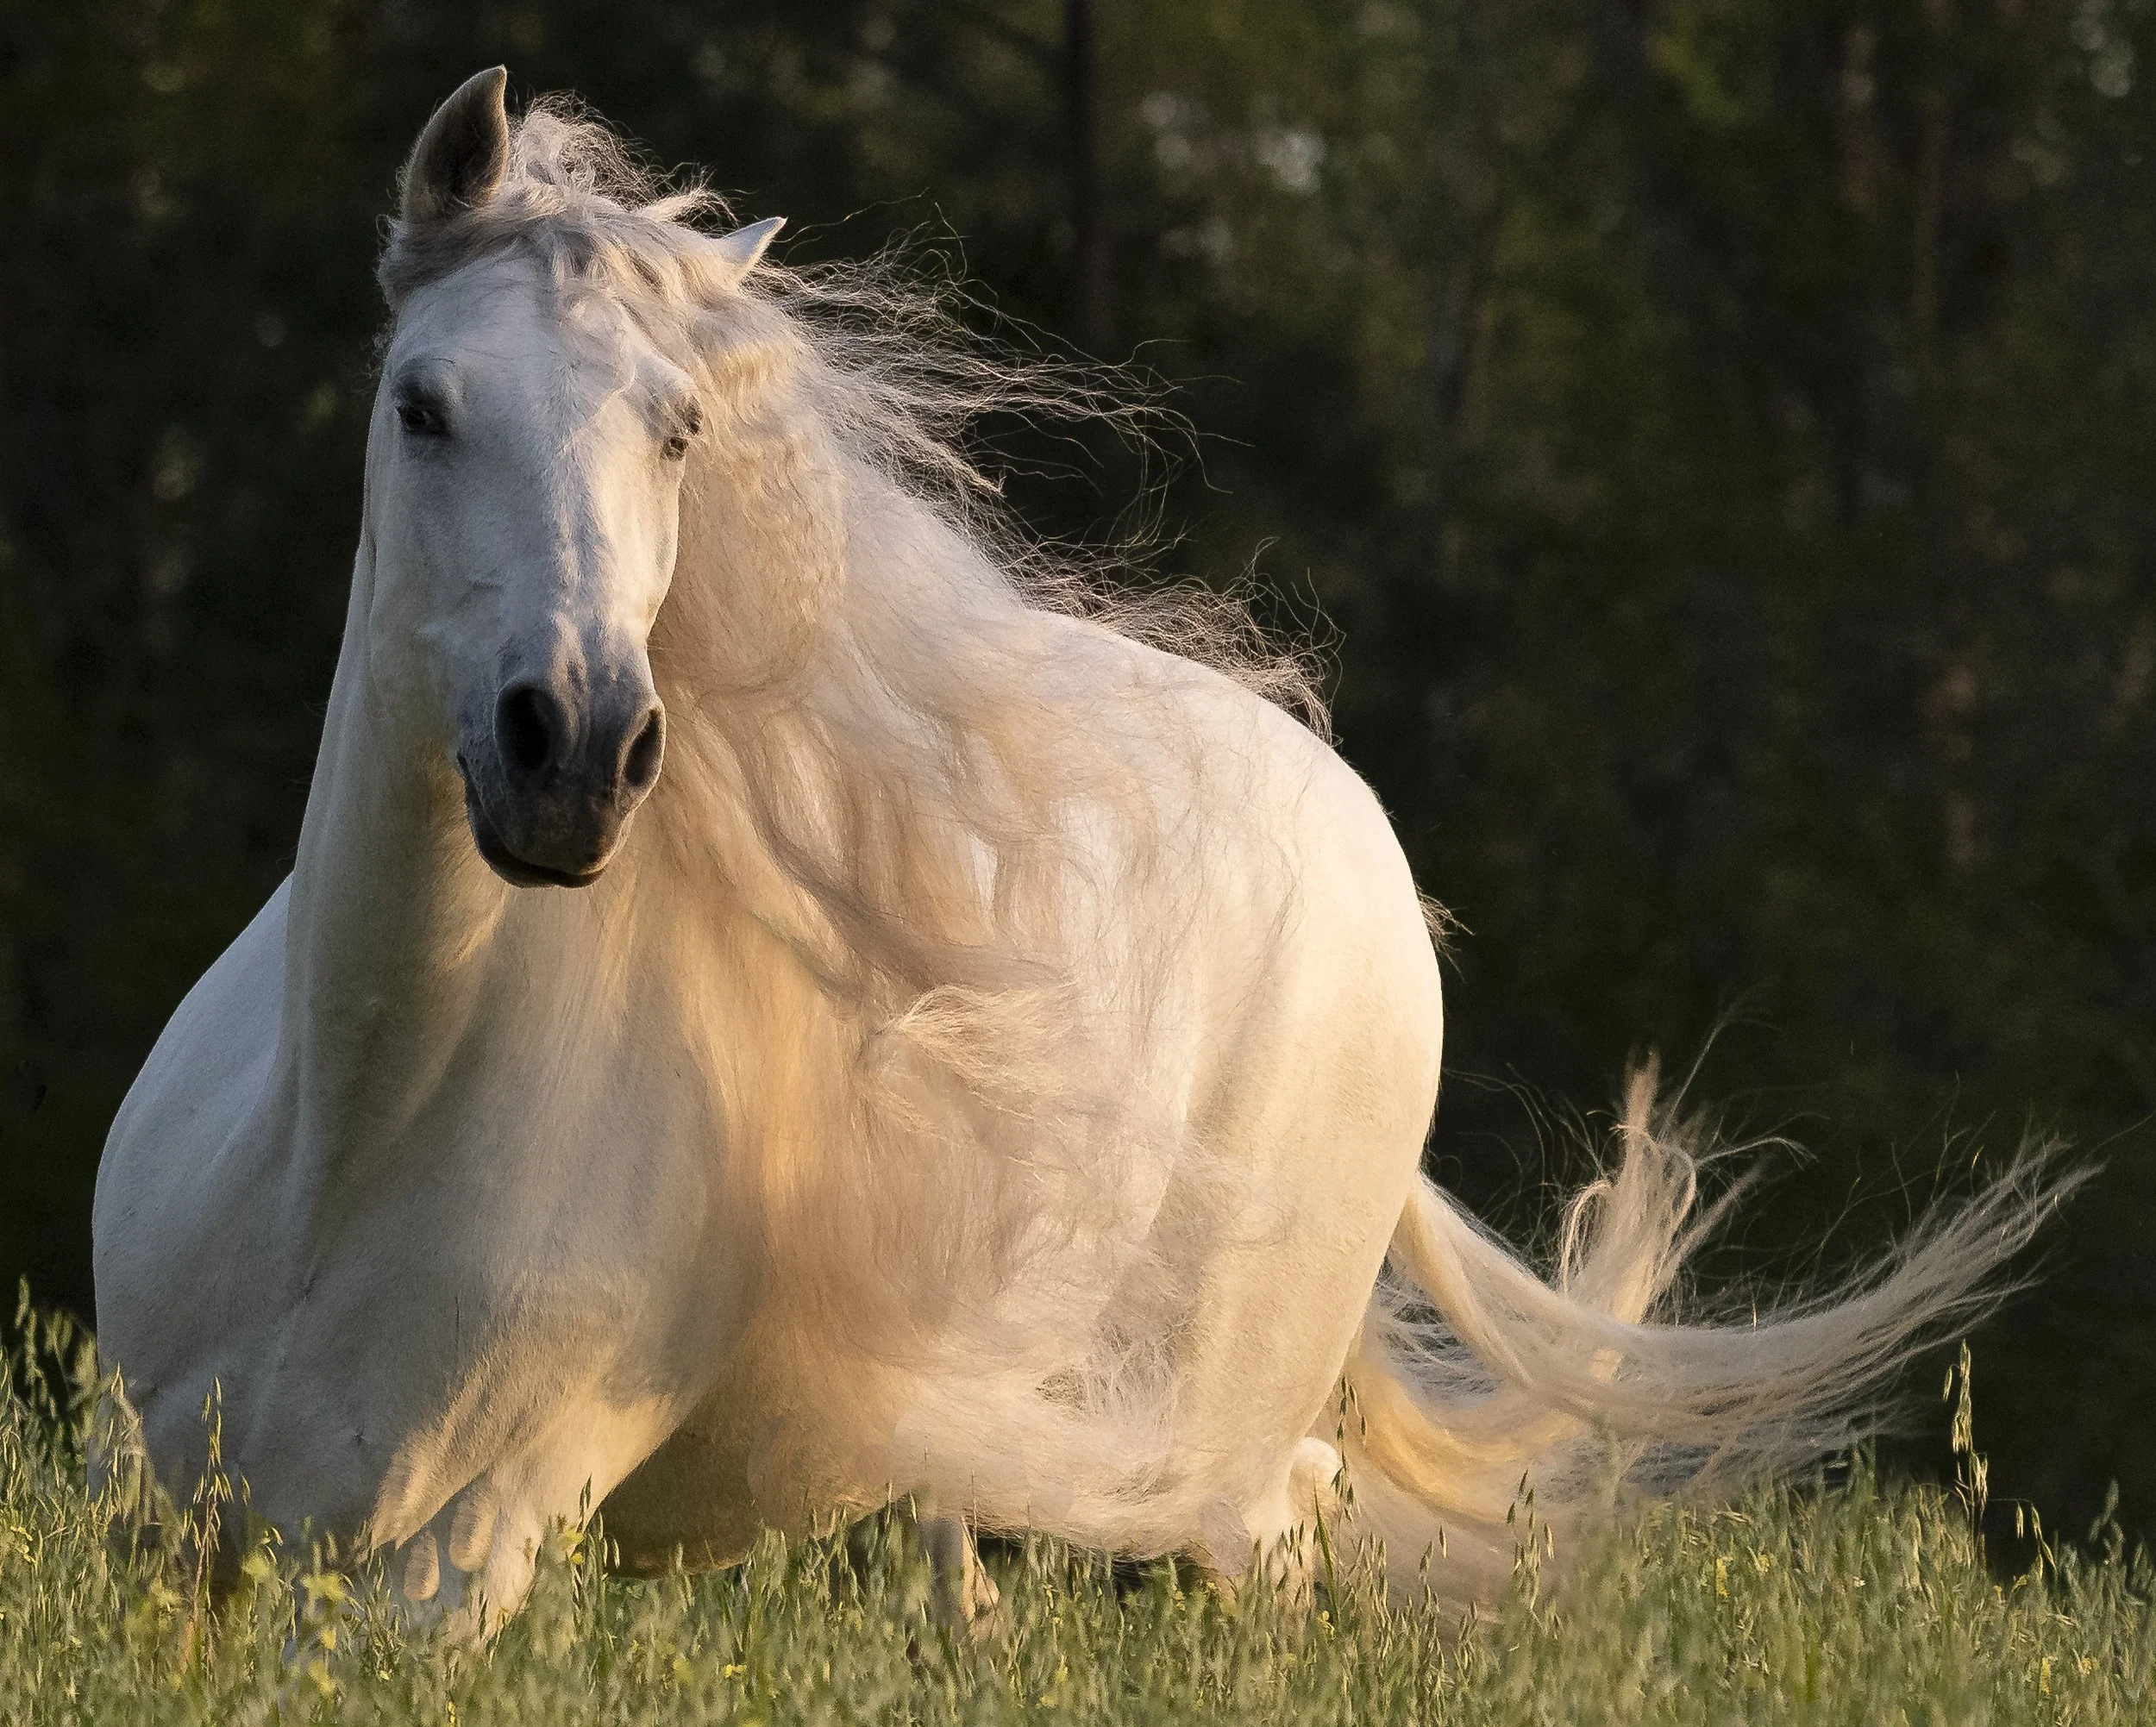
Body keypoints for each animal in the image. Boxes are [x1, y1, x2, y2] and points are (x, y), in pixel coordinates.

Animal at [93, 68, 2067, 1635]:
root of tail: (1363, 842)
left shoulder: (454, 1560)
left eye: (681, 429)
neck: (352, 1144)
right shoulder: (183, 1539)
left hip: (1208, 1476)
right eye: (421, 402)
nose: (572, 751)